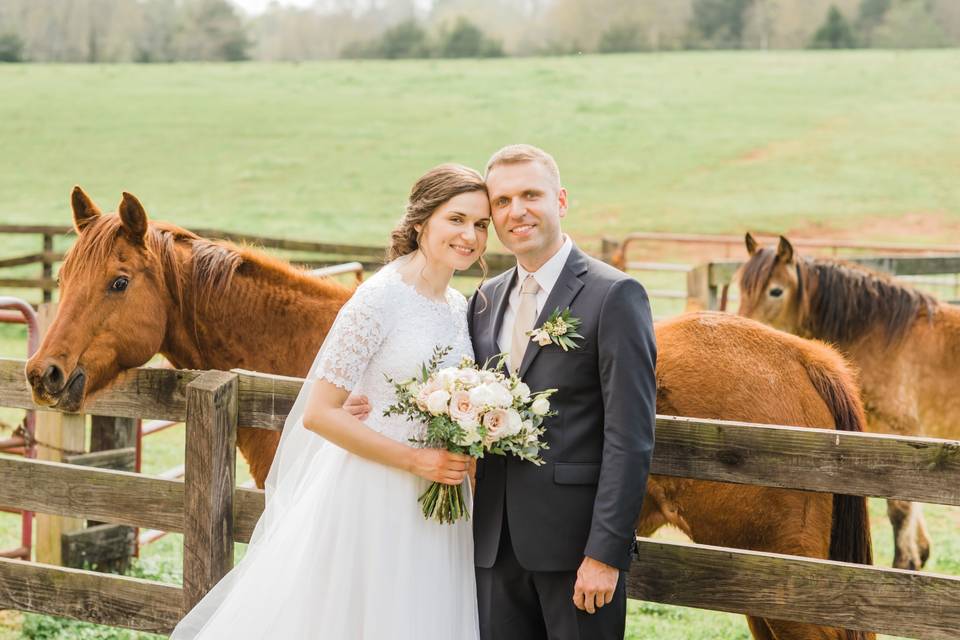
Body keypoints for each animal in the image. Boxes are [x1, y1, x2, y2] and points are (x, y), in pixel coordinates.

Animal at [736, 234, 960, 568]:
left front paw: (903, 566)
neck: (886, 341)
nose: (742, 327)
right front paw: (917, 557)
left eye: (776, 291)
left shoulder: (903, 435)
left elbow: (900, 509)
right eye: (741, 286)